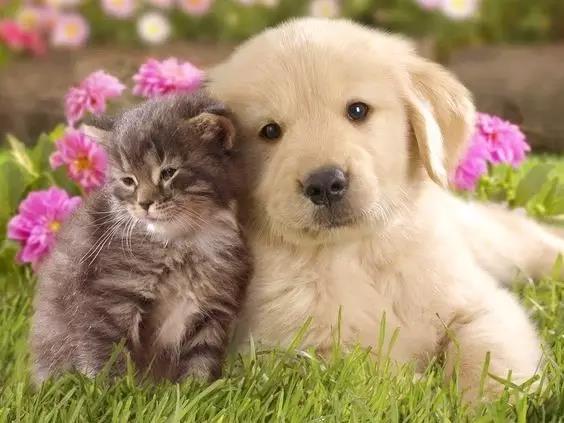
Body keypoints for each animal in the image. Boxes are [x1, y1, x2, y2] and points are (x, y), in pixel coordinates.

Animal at [31, 92, 251, 384]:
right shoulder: (110, 295)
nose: (145, 203)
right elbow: (107, 355)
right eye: (128, 180)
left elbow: (200, 359)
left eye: (168, 173)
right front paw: (114, 390)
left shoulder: (211, 306)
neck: (182, 242)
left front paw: (198, 388)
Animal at [207, 18, 564, 400]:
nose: (325, 184)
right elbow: (374, 377)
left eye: (358, 110)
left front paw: (487, 400)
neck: (356, 253)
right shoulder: (289, 352)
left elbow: (487, 351)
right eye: (270, 131)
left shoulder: (485, 304)